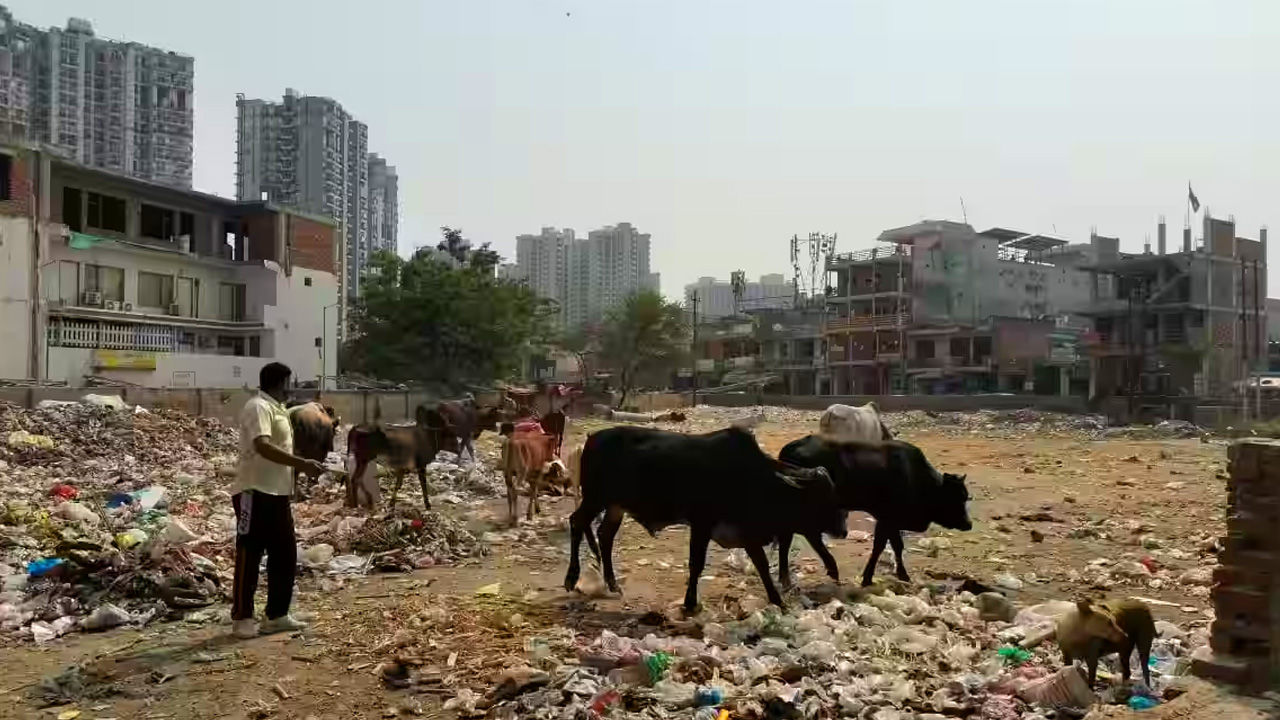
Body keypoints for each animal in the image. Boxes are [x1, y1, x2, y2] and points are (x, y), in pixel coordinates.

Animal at [563, 422, 844, 607]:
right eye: (821, 499)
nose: (842, 530)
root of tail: (591, 439)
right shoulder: (702, 523)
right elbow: (696, 563)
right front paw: (690, 603)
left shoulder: (746, 531)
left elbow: (762, 564)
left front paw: (777, 601)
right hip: (596, 498)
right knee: (577, 522)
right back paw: (571, 578)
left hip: (615, 506)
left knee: (604, 535)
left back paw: (612, 583)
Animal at [773, 435, 972, 586]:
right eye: (956, 497)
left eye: (965, 496)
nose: (968, 524)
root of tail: (790, 448)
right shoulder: (886, 519)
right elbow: (880, 547)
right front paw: (868, 578)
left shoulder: (891, 521)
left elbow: (896, 546)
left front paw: (901, 574)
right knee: (806, 536)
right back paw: (826, 570)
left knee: (791, 539)